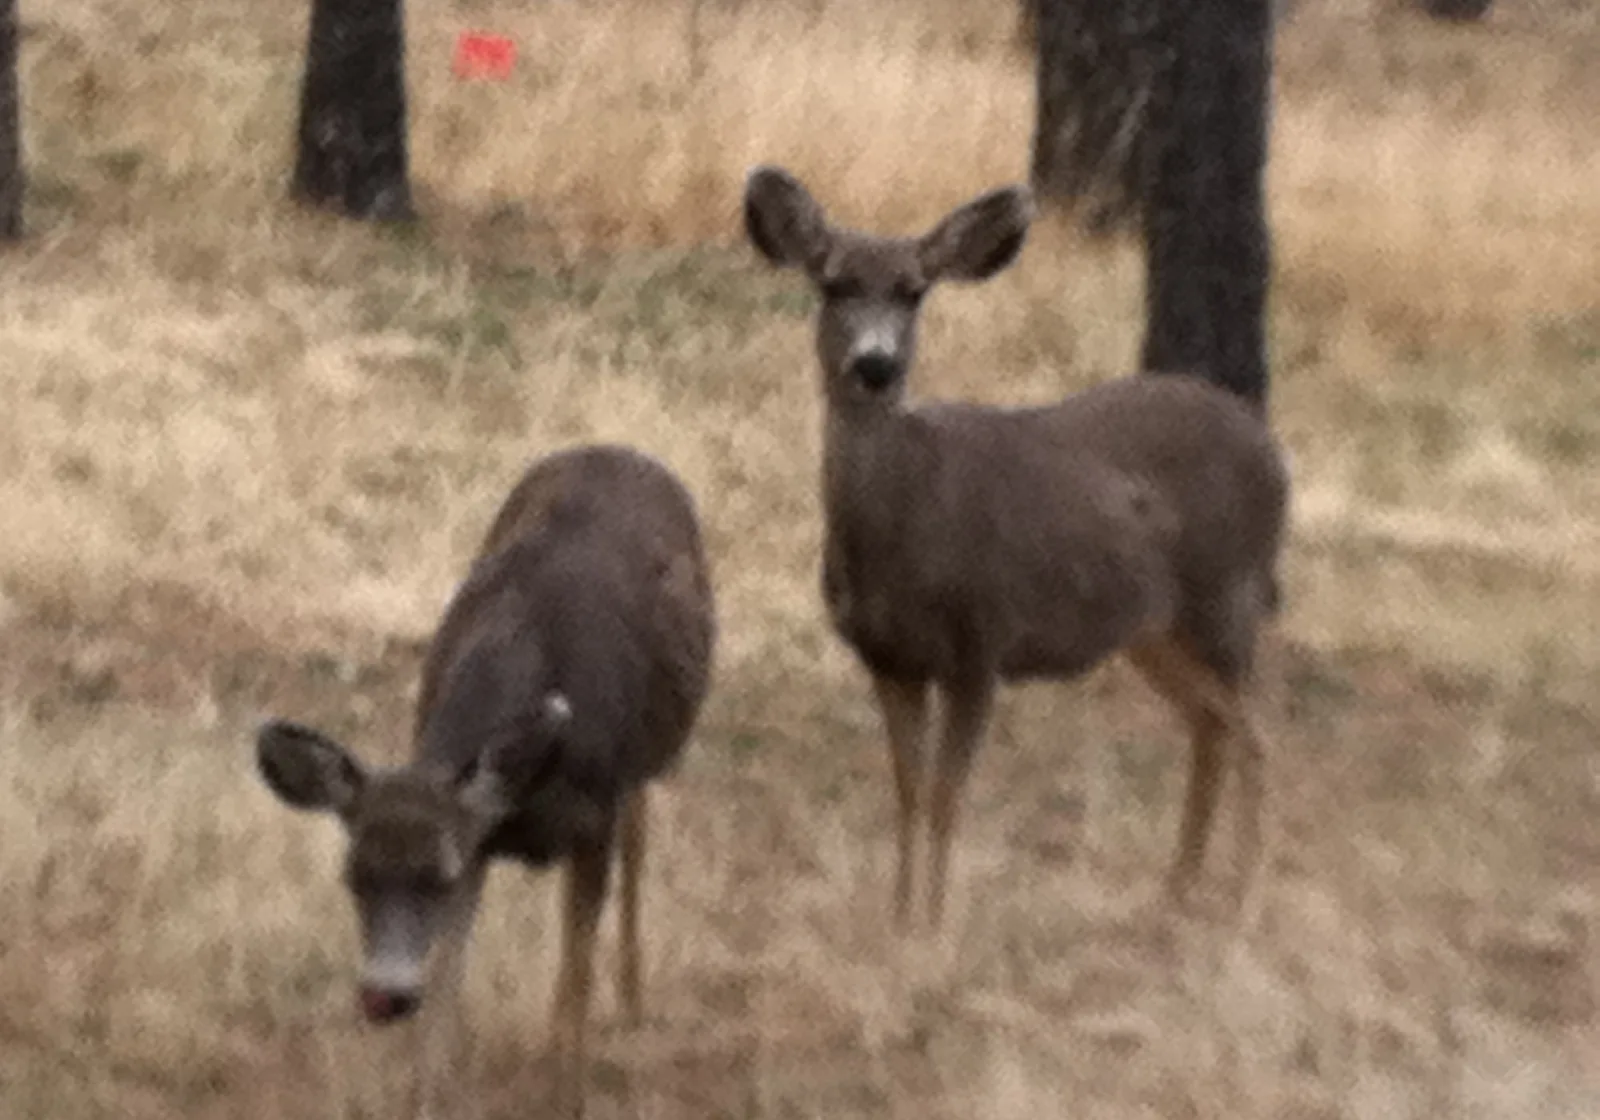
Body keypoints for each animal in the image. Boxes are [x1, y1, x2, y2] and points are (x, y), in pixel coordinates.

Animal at [253, 444, 716, 1119]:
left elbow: (573, 982)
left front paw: (566, 1099)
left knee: (640, 833)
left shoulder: (590, 821)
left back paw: (632, 1000)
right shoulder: (478, 839)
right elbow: (446, 989)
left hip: (642, 762)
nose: (386, 996)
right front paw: (423, 1100)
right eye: (353, 877)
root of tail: (617, 449)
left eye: (437, 876)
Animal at [742, 165, 1289, 933]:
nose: (875, 365)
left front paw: (935, 928)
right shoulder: (888, 658)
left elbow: (947, 796)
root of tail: (1274, 452)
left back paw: (1241, 903)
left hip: (1224, 599)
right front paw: (898, 920)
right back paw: (1175, 892)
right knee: (1211, 726)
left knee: (1258, 735)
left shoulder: (981, 644)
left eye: (914, 289)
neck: (903, 529)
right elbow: (907, 792)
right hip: (1152, 631)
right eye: (834, 283)